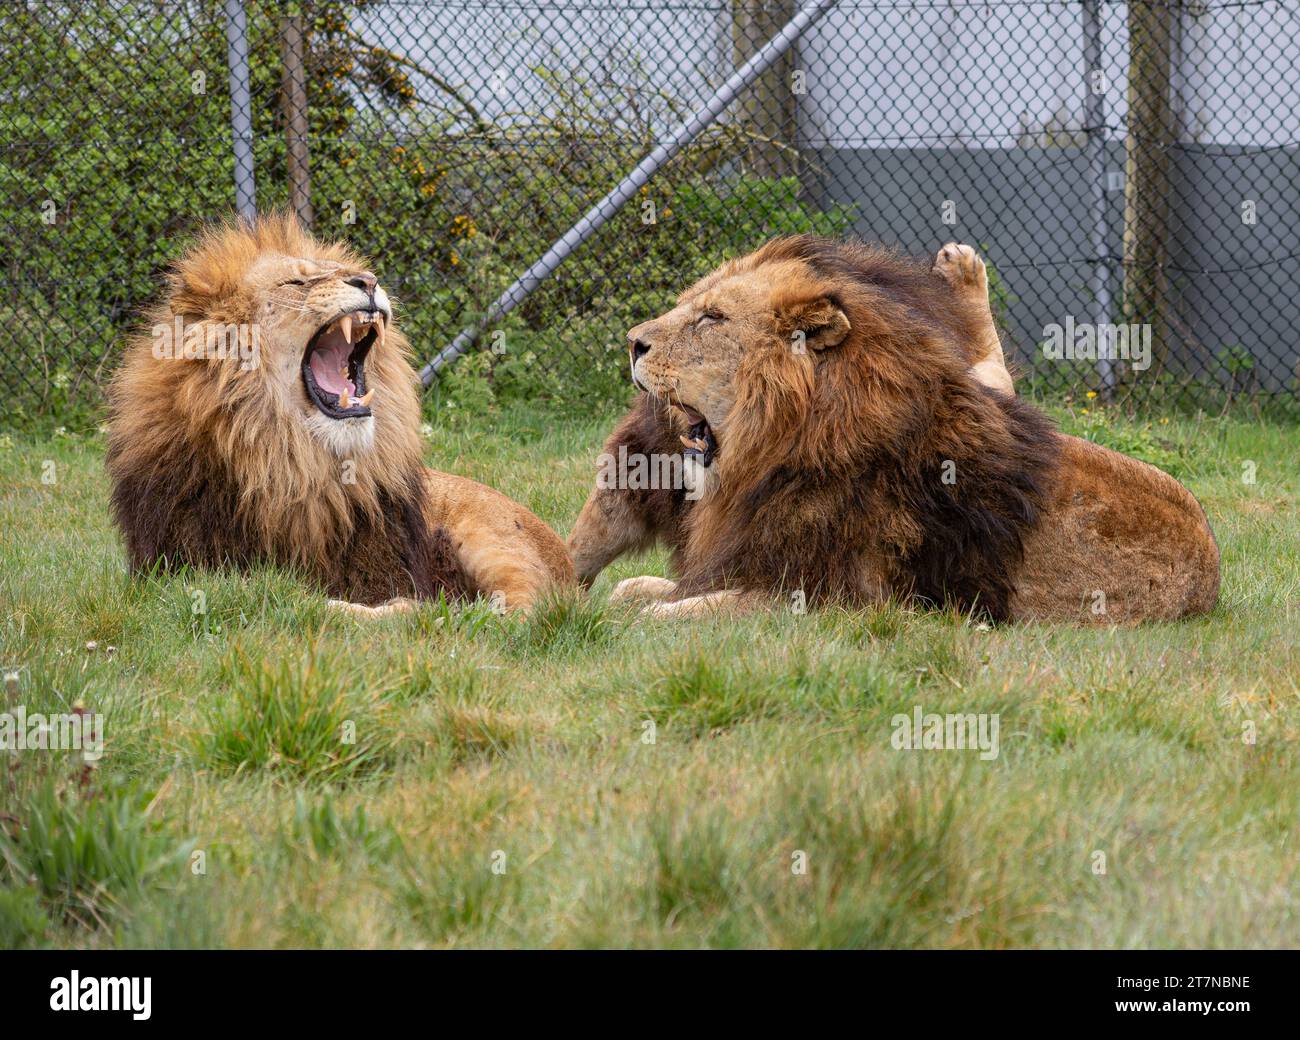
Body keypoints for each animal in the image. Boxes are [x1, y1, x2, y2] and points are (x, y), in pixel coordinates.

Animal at [107, 215, 573, 614]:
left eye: (350, 271)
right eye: (297, 281)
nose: (369, 281)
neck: (297, 466)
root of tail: (570, 565)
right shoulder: (179, 568)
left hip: (491, 542)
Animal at [567, 235, 1219, 623]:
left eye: (711, 318)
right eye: (690, 305)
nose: (632, 342)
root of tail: (1213, 575)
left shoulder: (839, 600)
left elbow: (682, 612)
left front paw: (640, 622)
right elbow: (637, 589)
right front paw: (616, 597)